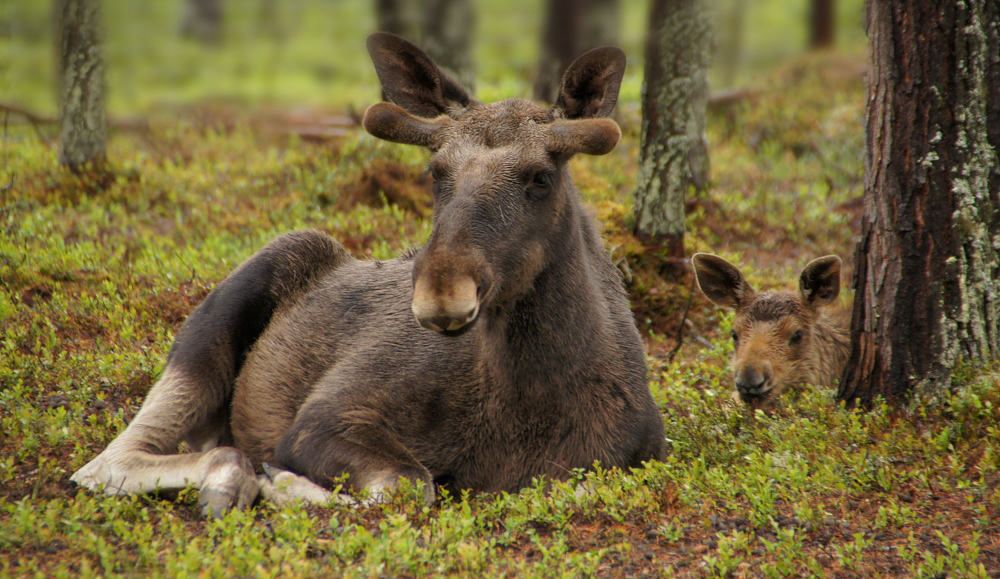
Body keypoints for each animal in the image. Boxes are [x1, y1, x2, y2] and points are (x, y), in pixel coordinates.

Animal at [74, 34, 668, 520]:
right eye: (435, 172)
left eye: (541, 178)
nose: (441, 291)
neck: (528, 401)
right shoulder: (322, 419)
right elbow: (408, 485)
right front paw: (279, 480)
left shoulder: (638, 456)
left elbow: (575, 485)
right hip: (226, 312)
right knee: (109, 461)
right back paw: (230, 476)